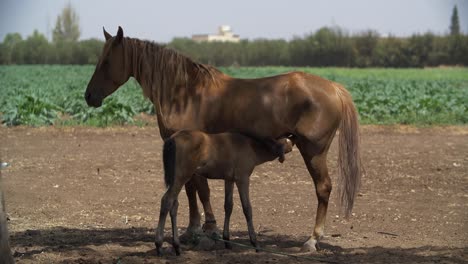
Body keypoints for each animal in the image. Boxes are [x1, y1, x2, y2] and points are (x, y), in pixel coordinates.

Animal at [155, 130, 290, 256]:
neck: (250, 147)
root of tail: (172, 139)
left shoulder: (229, 179)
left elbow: (228, 206)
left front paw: (227, 241)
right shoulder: (242, 179)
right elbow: (247, 208)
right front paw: (255, 243)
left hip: (177, 179)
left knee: (174, 205)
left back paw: (177, 246)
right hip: (181, 176)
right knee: (167, 200)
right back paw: (159, 245)